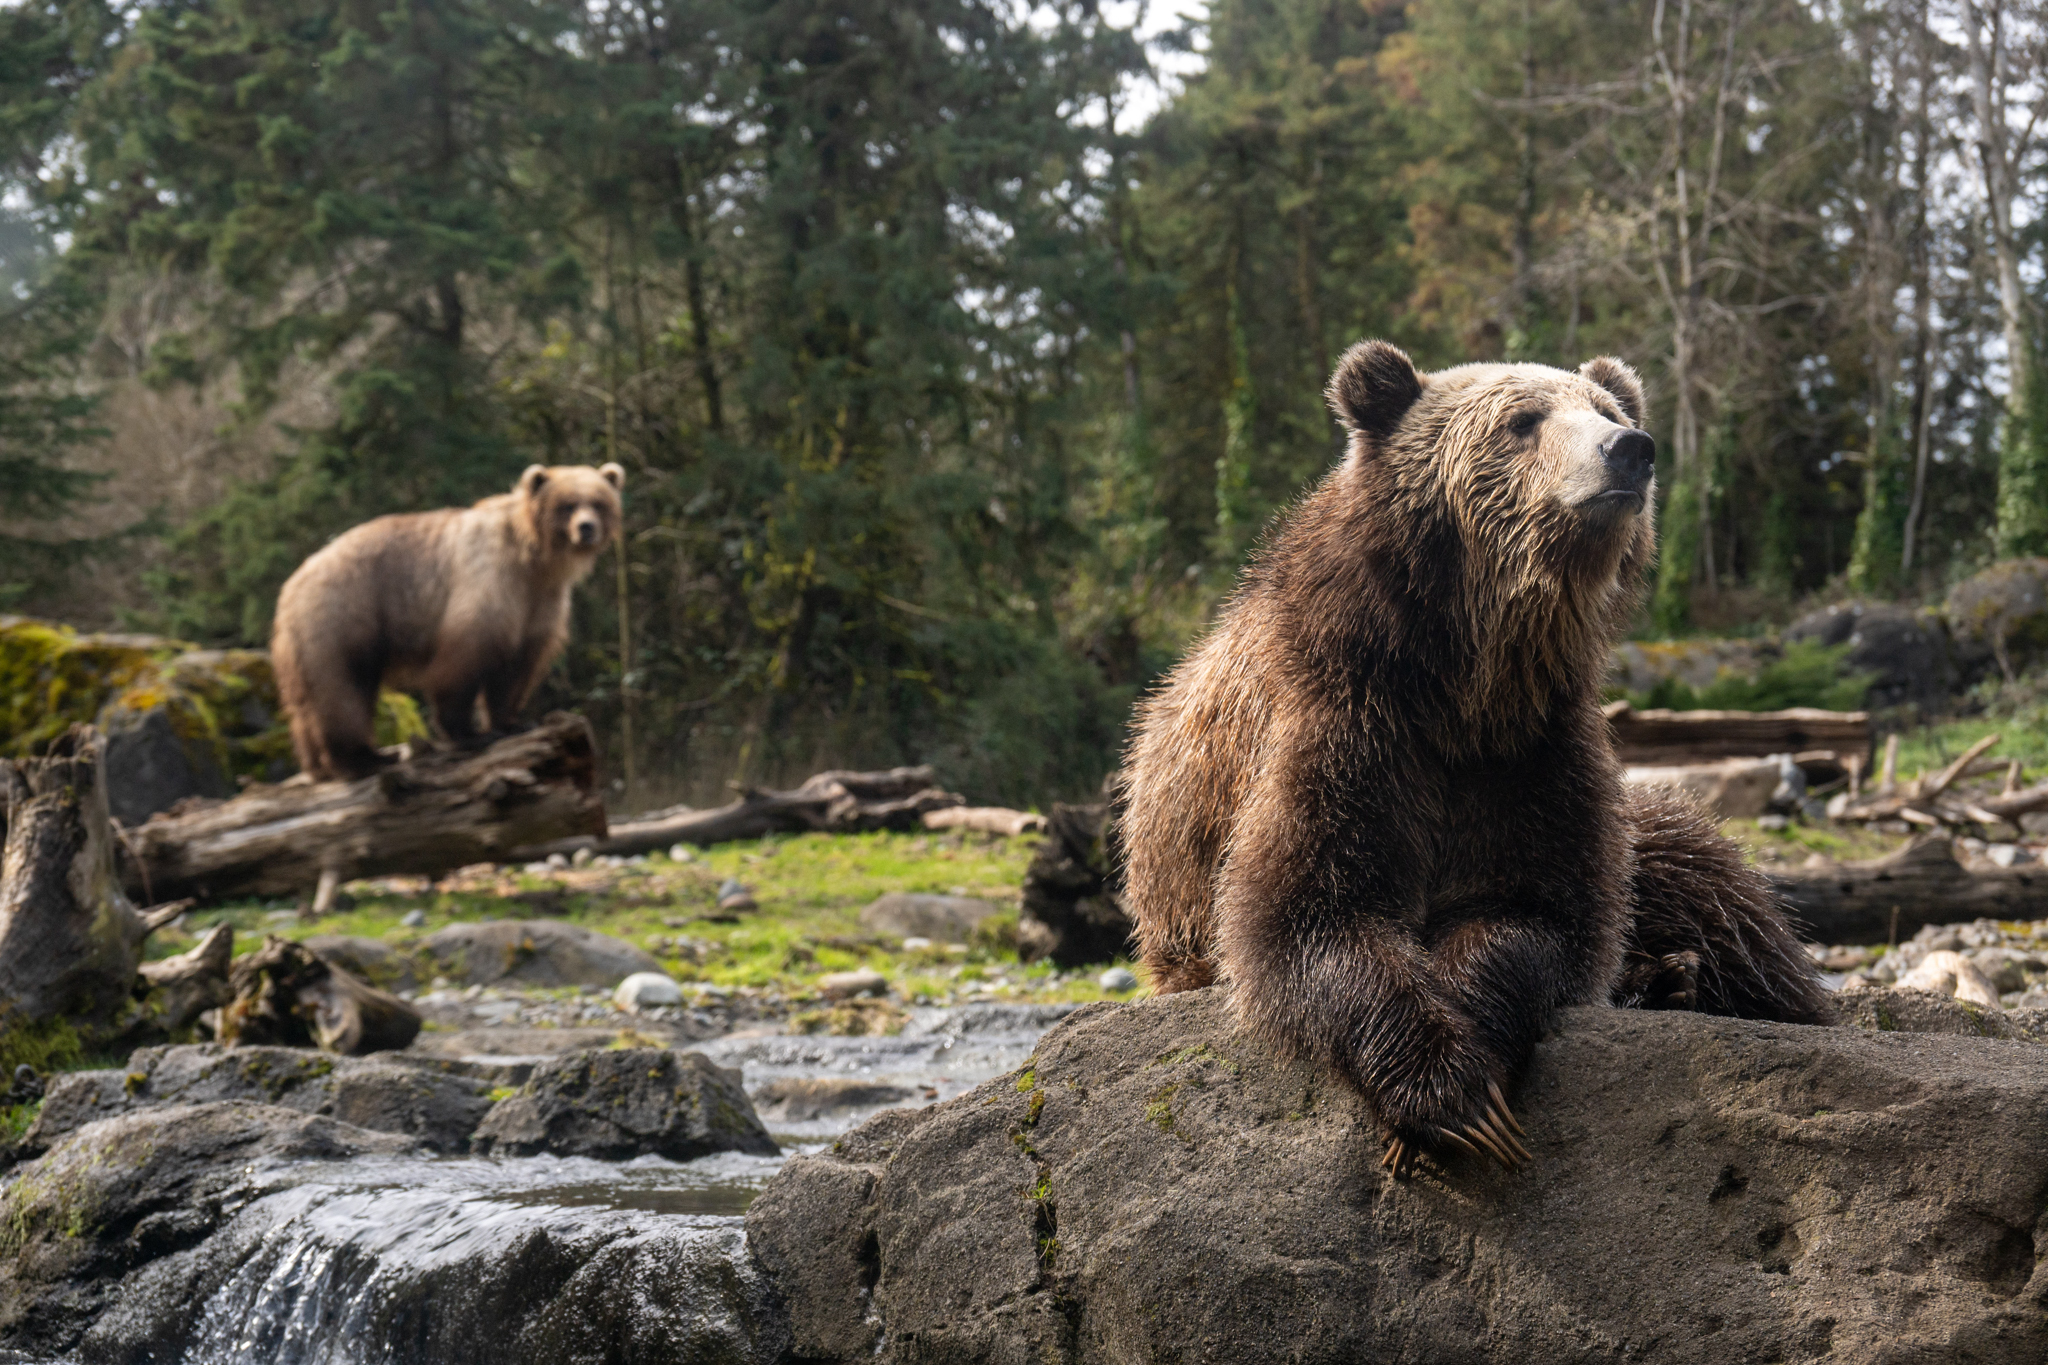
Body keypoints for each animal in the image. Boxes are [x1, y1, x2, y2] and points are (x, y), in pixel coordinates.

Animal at [271, 462, 624, 781]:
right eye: (567, 505)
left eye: (598, 502)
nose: (587, 528)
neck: (534, 559)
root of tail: (290, 588)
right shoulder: (489, 579)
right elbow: (467, 657)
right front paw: (470, 733)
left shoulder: (539, 603)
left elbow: (516, 666)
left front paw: (512, 721)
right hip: (342, 616)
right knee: (341, 691)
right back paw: (364, 759)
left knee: (311, 703)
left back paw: (320, 765)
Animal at [1118, 341, 1829, 1179]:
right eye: (1523, 420)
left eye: (1605, 408)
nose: (1630, 449)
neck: (1469, 677)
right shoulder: (1347, 725)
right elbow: (1306, 911)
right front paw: (1447, 1096)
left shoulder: (1528, 750)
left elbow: (1532, 906)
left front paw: (1477, 1081)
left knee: (1717, 896)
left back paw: (1680, 977)